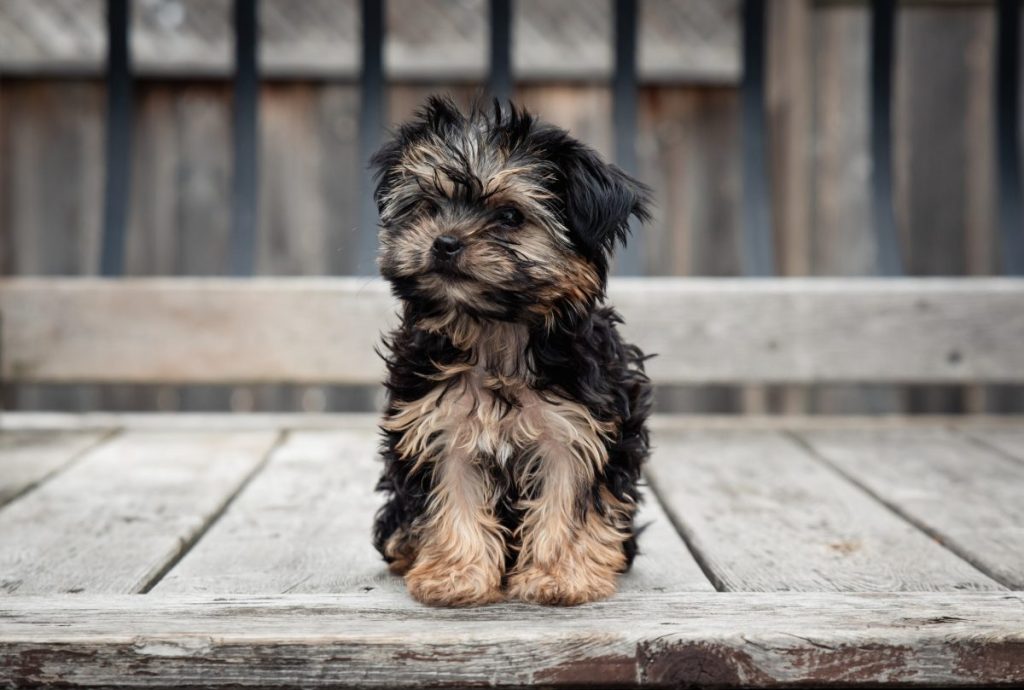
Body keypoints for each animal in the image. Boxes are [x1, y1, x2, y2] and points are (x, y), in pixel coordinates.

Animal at [372, 95, 651, 601]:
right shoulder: (441, 427)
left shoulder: (577, 430)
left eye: (509, 217)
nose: (444, 242)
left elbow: (567, 500)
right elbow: (454, 497)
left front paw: (557, 575)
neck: (494, 332)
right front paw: (455, 574)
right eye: (429, 206)